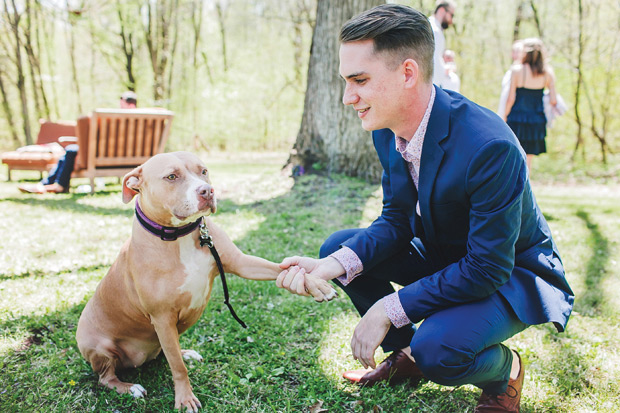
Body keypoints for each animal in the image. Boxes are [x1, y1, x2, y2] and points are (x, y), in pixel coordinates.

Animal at [75, 151, 336, 408]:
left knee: (166, 353)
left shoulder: (242, 263)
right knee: (107, 377)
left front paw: (316, 284)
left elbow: (284, 268)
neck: (180, 235)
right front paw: (185, 398)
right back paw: (128, 388)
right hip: (101, 348)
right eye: (171, 176)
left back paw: (185, 353)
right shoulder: (162, 318)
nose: (207, 191)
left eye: (203, 171)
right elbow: (177, 368)